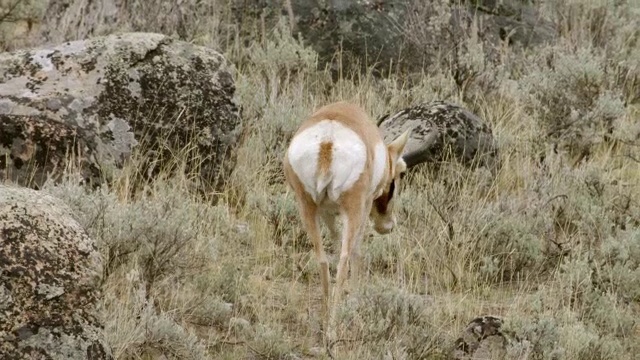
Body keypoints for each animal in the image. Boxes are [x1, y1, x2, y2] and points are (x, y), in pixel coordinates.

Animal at [284, 101, 410, 330]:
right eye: (401, 173)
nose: (388, 225)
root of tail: (327, 139)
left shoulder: (327, 212)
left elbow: (335, 243)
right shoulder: (365, 204)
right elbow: (356, 252)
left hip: (307, 208)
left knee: (323, 259)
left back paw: (326, 318)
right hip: (352, 210)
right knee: (345, 258)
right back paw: (335, 325)